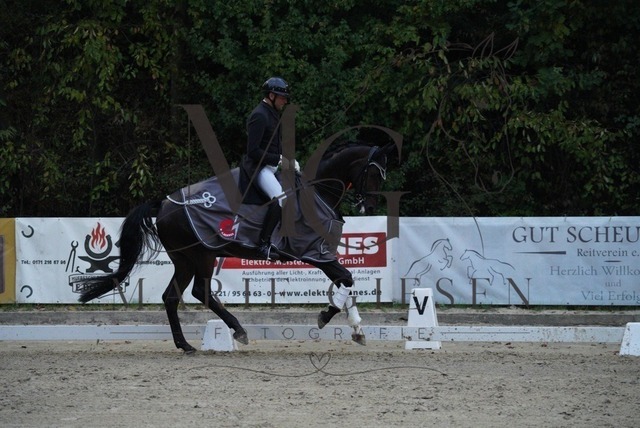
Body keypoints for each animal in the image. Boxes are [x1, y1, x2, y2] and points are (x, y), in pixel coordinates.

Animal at [77, 142, 397, 354]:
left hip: (184, 259)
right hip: (201, 255)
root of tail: (165, 204)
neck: (315, 192)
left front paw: (357, 330)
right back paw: (237, 331)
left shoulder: (322, 254)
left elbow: (347, 283)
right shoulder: (316, 254)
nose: (369, 206)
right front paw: (325, 317)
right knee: (200, 292)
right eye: (373, 173)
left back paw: (186, 344)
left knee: (172, 297)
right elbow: (347, 280)